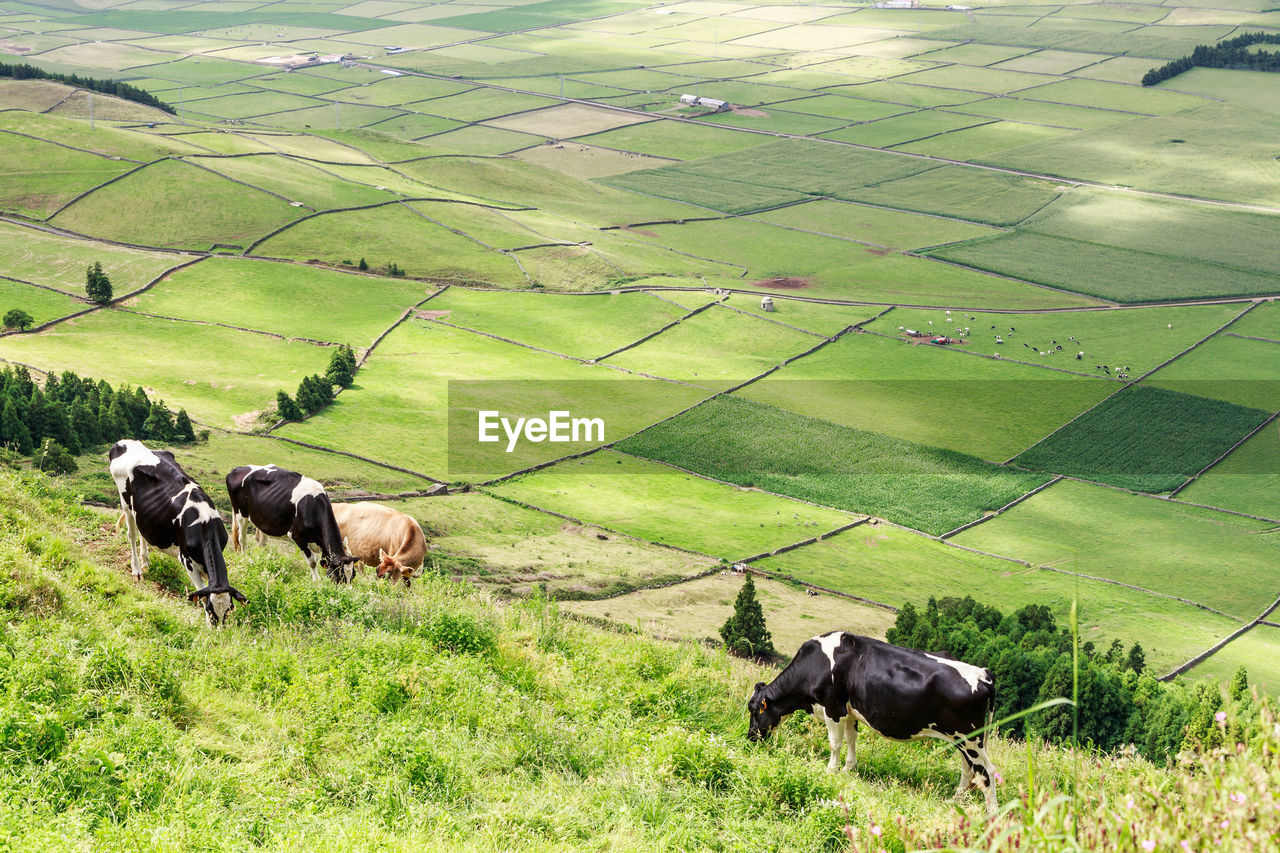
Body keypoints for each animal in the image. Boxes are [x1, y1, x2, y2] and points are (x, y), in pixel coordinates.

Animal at [108, 438, 247, 625]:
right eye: (210, 610)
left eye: (229, 609)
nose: (219, 630)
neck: (205, 524)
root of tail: (125, 442)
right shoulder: (187, 561)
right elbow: (202, 593)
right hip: (126, 503)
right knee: (132, 535)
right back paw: (136, 570)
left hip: (142, 510)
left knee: (142, 531)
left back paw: (145, 561)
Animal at [226, 461, 360, 581]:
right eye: (338, 577)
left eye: (352, 576)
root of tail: (237, 469)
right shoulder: (298, 536)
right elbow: (312, 561)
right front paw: (317, 582)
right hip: (240, 514)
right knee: (242, 540)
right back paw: (245, 558)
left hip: (260, 517)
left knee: (261, 542)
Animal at [747, 627, 998, 814]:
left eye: (754, 710)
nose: (750, 738)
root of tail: (983, 673)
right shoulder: (850, 712)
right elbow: (851, 740)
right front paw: (848, 768)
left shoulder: (833, 708)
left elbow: (835, 744)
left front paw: (831, 770)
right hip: (962, 739)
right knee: (968, 770)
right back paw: (954, 802)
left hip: (970, 739)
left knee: (987, 773)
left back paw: (991, 817)